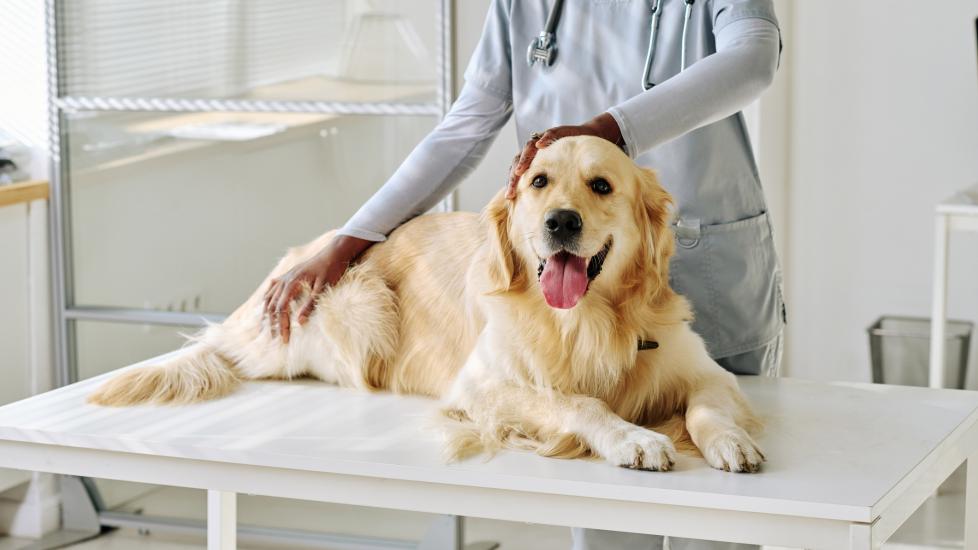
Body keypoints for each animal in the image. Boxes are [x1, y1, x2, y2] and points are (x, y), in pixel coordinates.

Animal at [89, 137, 764, 474]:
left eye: (602, 185)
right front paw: (633, 439)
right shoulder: (482, 386)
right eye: (538, 182)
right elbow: (578, 402)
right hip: (357, 308)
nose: (560, 223)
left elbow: (708, 407)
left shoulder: (705, 371)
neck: (587, 319)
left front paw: (730, 442)